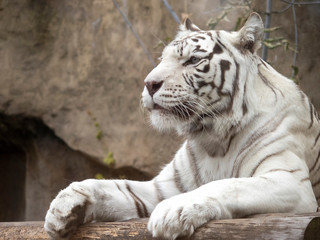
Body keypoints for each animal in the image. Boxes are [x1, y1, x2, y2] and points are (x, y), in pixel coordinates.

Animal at [43, 13, 318, 240]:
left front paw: (173, 211)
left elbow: (230, 184)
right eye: (162, 58)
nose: (149, 83)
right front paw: (65, 204)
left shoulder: (291, 182)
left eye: (193, 60)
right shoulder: (164, 187)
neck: (215, 138)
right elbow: (115, 186)